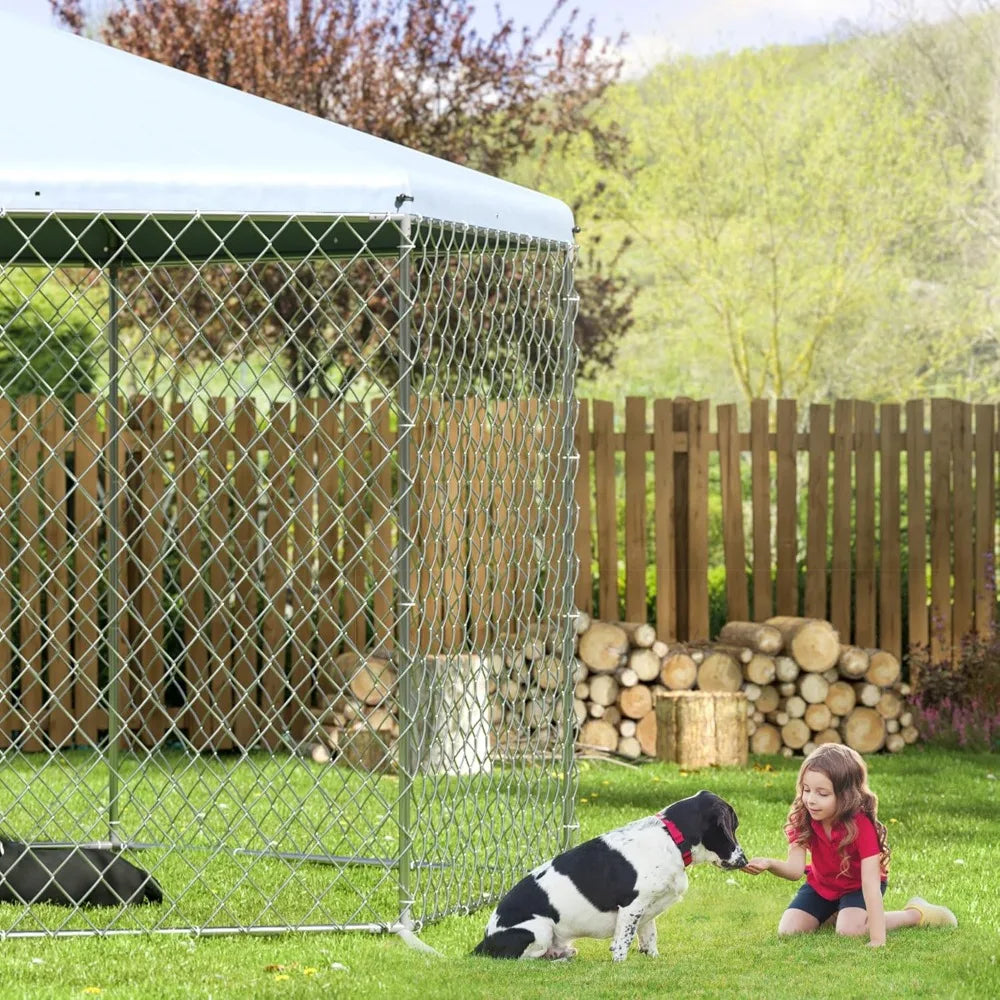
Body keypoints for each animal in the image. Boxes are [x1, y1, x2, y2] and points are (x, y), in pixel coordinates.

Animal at [472, 788, 748, 960]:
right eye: (733, 826)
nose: (745, 860)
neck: (669, 837)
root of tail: (484, 942)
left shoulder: (647, 911)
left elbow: (650, 940)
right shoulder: (631, 908)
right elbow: (622, 944)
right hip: (539, 930)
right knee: (527, 958)